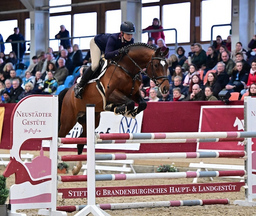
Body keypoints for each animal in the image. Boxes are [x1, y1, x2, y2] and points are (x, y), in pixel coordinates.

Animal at [58, 43, 170, 175]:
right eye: (156, 65)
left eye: (167, 65)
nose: (165, 89)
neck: (128, 69)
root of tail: (68, 91)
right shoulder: (110, 94)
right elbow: (129, 102)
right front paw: (120, 109)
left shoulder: (134, 93)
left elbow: (142, 104)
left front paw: (129, 112)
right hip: (68, 120)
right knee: (60, 137)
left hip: (90, 119)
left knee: (81, 141)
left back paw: (76, 169)